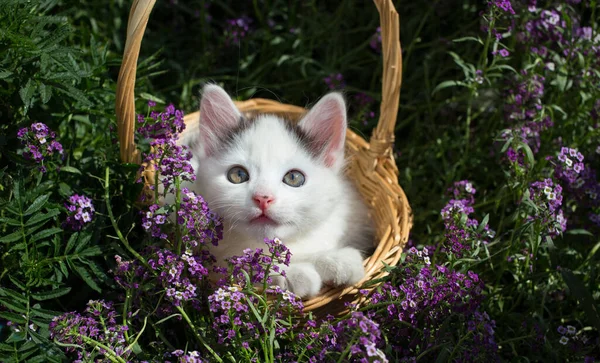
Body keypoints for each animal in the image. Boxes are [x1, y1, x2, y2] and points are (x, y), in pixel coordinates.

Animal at [180, 85, 372, 298]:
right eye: (238, 174)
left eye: (294, 178)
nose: (263, 198)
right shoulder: (212, 259)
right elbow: (244, 265)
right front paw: (293, 273)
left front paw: (338, 260)